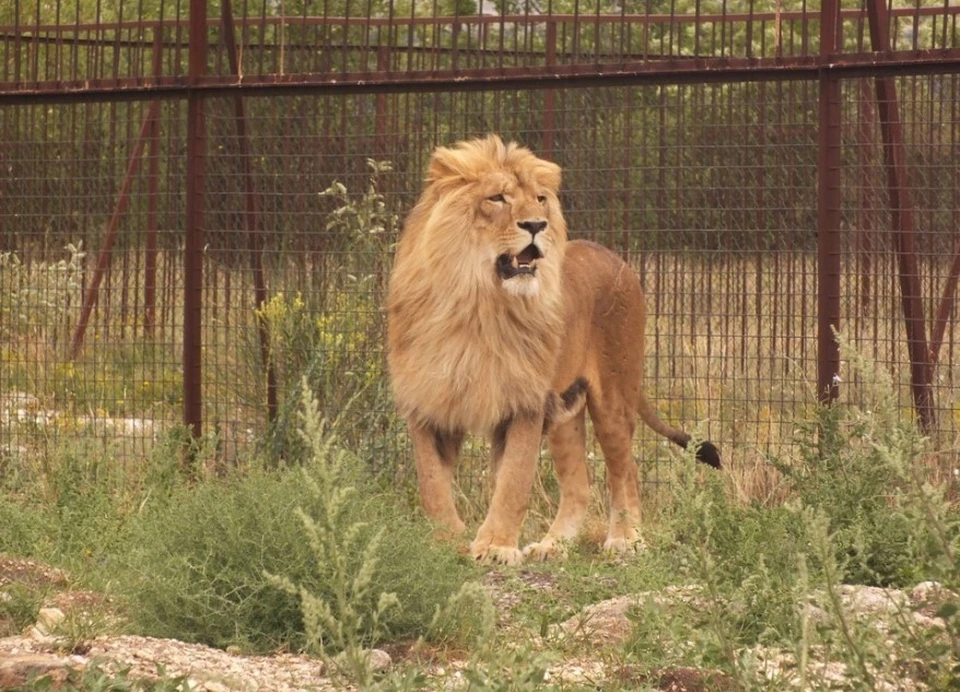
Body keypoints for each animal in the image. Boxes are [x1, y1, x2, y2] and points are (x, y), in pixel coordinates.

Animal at [384, 137, 720, 568]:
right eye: (497, 198)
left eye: (540, 200)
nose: (536, 225)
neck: (478, 306)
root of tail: (615, 257)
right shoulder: (428, 402)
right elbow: (432, 484)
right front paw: (446, 542)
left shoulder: (524, 402)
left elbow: (513, 479)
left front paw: (495, 546)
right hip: (565, 411)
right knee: (579, 485)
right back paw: (552, 546)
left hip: (613, 398)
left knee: (626, 472)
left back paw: (626, 540)